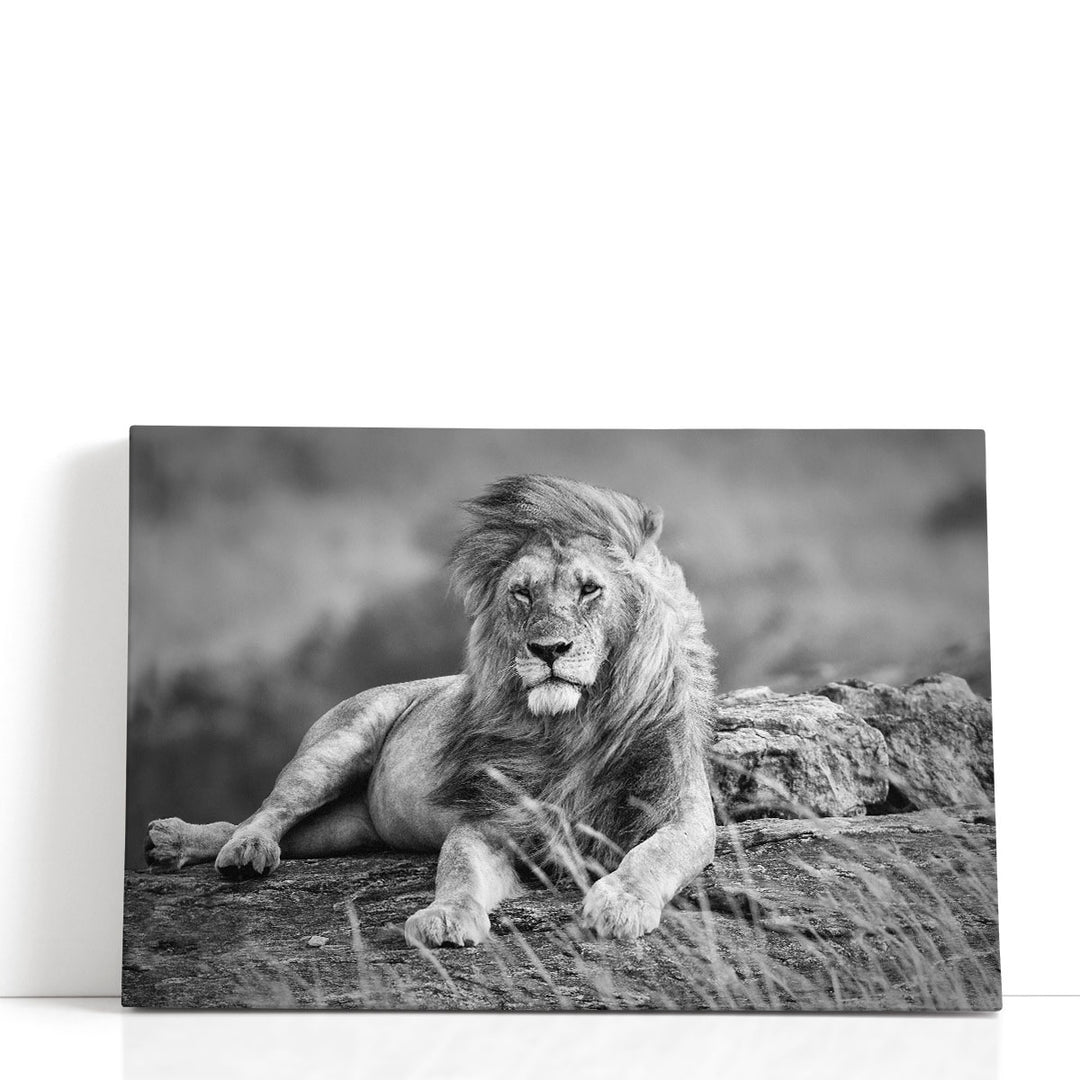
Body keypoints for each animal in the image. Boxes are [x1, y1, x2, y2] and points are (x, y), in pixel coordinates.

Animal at [145, 474, 718, 946]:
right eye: (522, 593)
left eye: (590, 589)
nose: (548, 650)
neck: (571, 727)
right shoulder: (487, 819)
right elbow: (458, 868)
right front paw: (445, 917)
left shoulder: (683, 812)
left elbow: (654, 854)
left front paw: (620, 903)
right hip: (336, 747)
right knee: (268, 811)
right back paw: (232, 849)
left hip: (345, 829)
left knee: (273, 828)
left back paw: (177, 844)